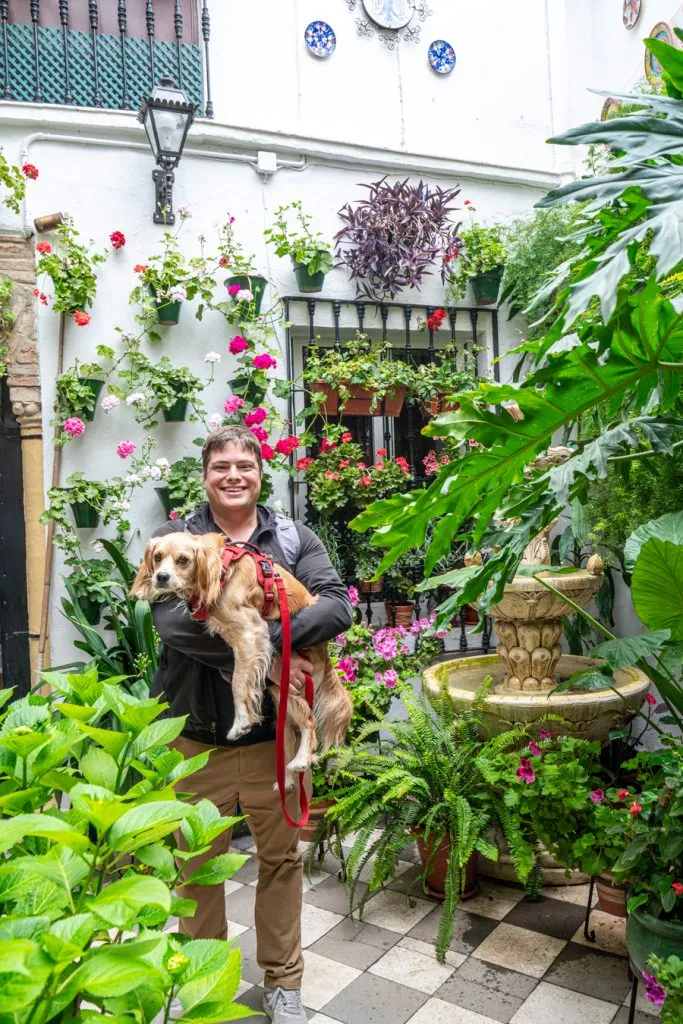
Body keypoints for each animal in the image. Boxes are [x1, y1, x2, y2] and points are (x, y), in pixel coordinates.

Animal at [130, 532, 352, 778]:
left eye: (183, 560)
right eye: (158, 557)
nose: (161, 577)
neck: (221, 571)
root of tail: (325, 653)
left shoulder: (250, 632)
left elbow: (237, 683)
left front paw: (241, 722)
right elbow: (242, 680)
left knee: (310, 721)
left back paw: (302, 760)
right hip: (281, 687)